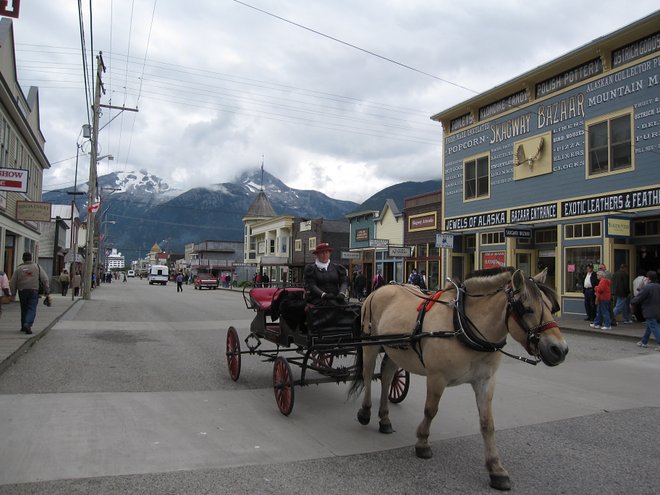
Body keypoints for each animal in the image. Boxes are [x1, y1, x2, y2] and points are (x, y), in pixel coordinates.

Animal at [348, 266, 568, 490]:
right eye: (527, 308)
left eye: (551, 307)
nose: (559, 349)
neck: (461, 325)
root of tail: (380, 289)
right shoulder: (437, 377)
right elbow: (430, 410)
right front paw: (422, 442)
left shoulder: (485, 381)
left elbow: (487, 423)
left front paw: (496, 468)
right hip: (371, 344)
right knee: (368, 376)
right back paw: (365, 412)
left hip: (395, 350)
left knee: (386, 377)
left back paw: (384, 419)